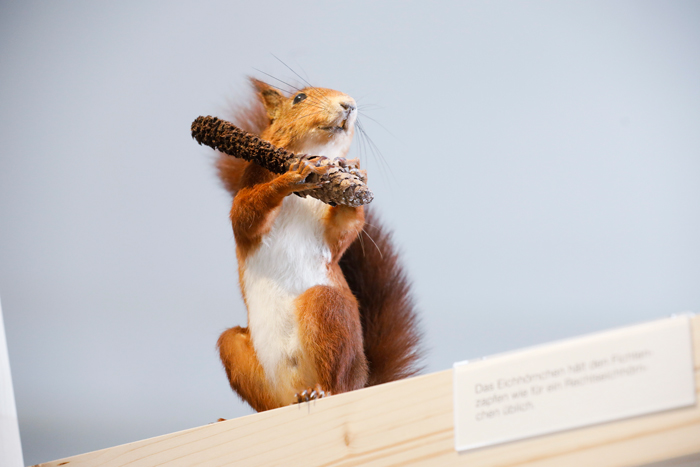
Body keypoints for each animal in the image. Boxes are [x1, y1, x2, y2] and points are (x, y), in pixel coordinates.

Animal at [214, 78, 422, 412]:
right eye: (299, 98)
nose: (349, 104)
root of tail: (361, 383)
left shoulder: (332, 235)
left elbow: (345, 228)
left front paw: (357, 173)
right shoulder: (247, 192)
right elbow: (246, 214)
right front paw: (290, 177)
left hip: (327, 308)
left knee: (333, 381)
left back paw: (321, 392)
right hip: (236, 350)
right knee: (266, 402)